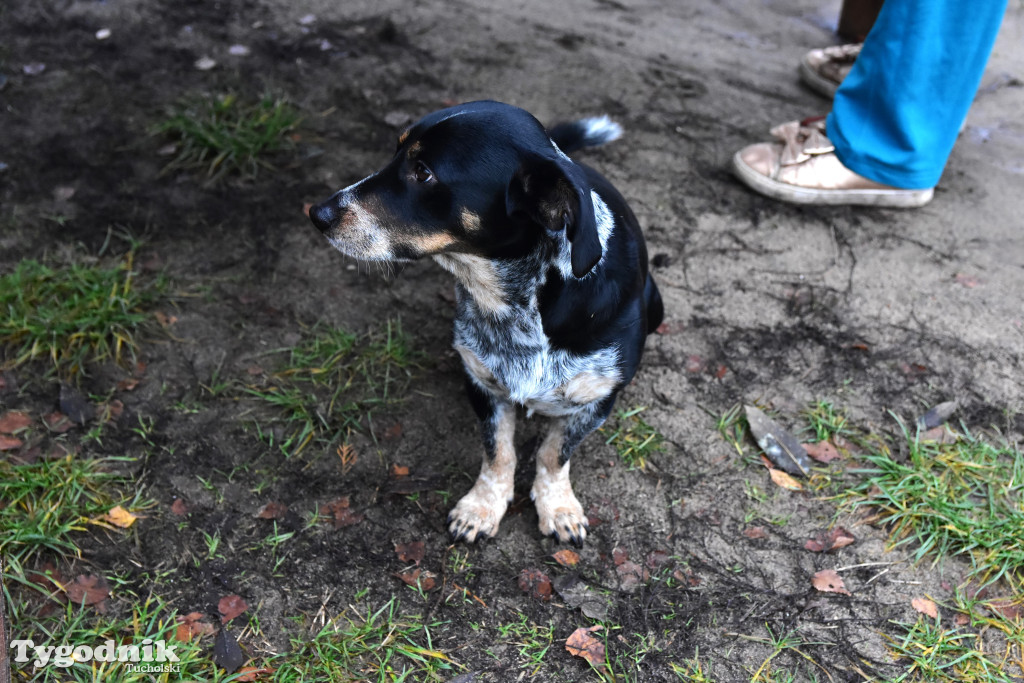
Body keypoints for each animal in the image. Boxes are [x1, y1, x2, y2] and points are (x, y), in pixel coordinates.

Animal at [307, 100, 663, 544]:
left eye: (423, 171)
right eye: (396, 149)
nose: (316, 213)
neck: (518, 300)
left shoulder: (598, 400)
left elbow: (553, 454)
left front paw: (558, 507)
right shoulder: (482, 383)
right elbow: (499, 452)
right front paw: (481, 507)